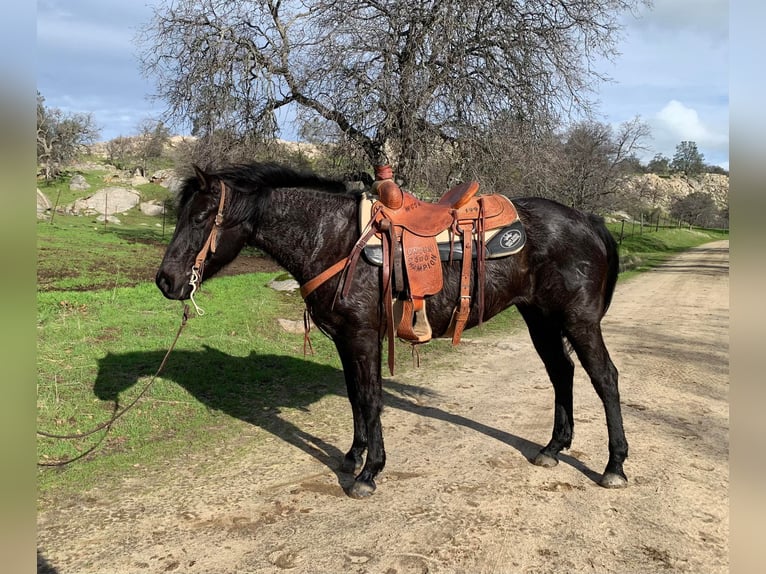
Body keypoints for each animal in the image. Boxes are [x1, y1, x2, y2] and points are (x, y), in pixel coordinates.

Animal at [156, 162, 632, 500]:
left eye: (201, 217)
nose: (165, 281)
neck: (334, 238)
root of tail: (588, 219)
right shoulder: (345, 339)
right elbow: (354, 397)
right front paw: (352, 457)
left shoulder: (363, 336)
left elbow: (371, 398)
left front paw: (370, 472)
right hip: (540, 319)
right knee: (561, 373)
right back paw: (552, 449)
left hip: (579, 321)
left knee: (605, 378)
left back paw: (614, 467)